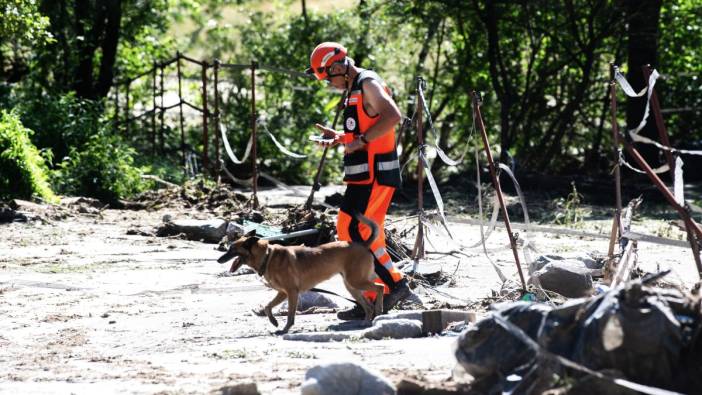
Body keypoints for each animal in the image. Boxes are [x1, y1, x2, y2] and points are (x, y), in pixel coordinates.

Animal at [219, 213, 384, 334]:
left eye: (232, 249)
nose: (219, 260)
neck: (267, 256)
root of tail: (363, 245)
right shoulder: (283, 293)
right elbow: (267, 307)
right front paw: (274, 321)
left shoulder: (292, 293)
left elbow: (290, 315)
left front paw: (285, 329)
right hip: (351, 286)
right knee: (368, 305)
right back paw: (367, 321)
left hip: (356, 282)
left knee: (380, 287)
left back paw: (379, 310)